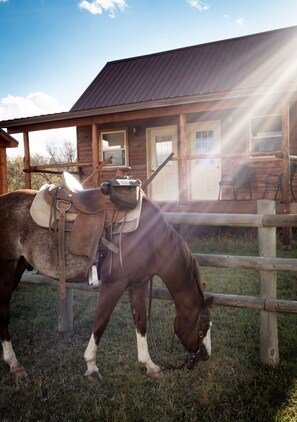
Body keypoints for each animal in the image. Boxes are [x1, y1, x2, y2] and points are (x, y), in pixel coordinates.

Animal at [0, 178, 213, 380]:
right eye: (203, 329)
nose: (205, 356)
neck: (151, 240)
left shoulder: (138, 283)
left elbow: (140, 321)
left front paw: (149, 365)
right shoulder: (114, 284)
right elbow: (100, 322)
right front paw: (91, 366)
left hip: (17, 269)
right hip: (7, 271)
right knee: (3, 314)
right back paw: (14, 364)